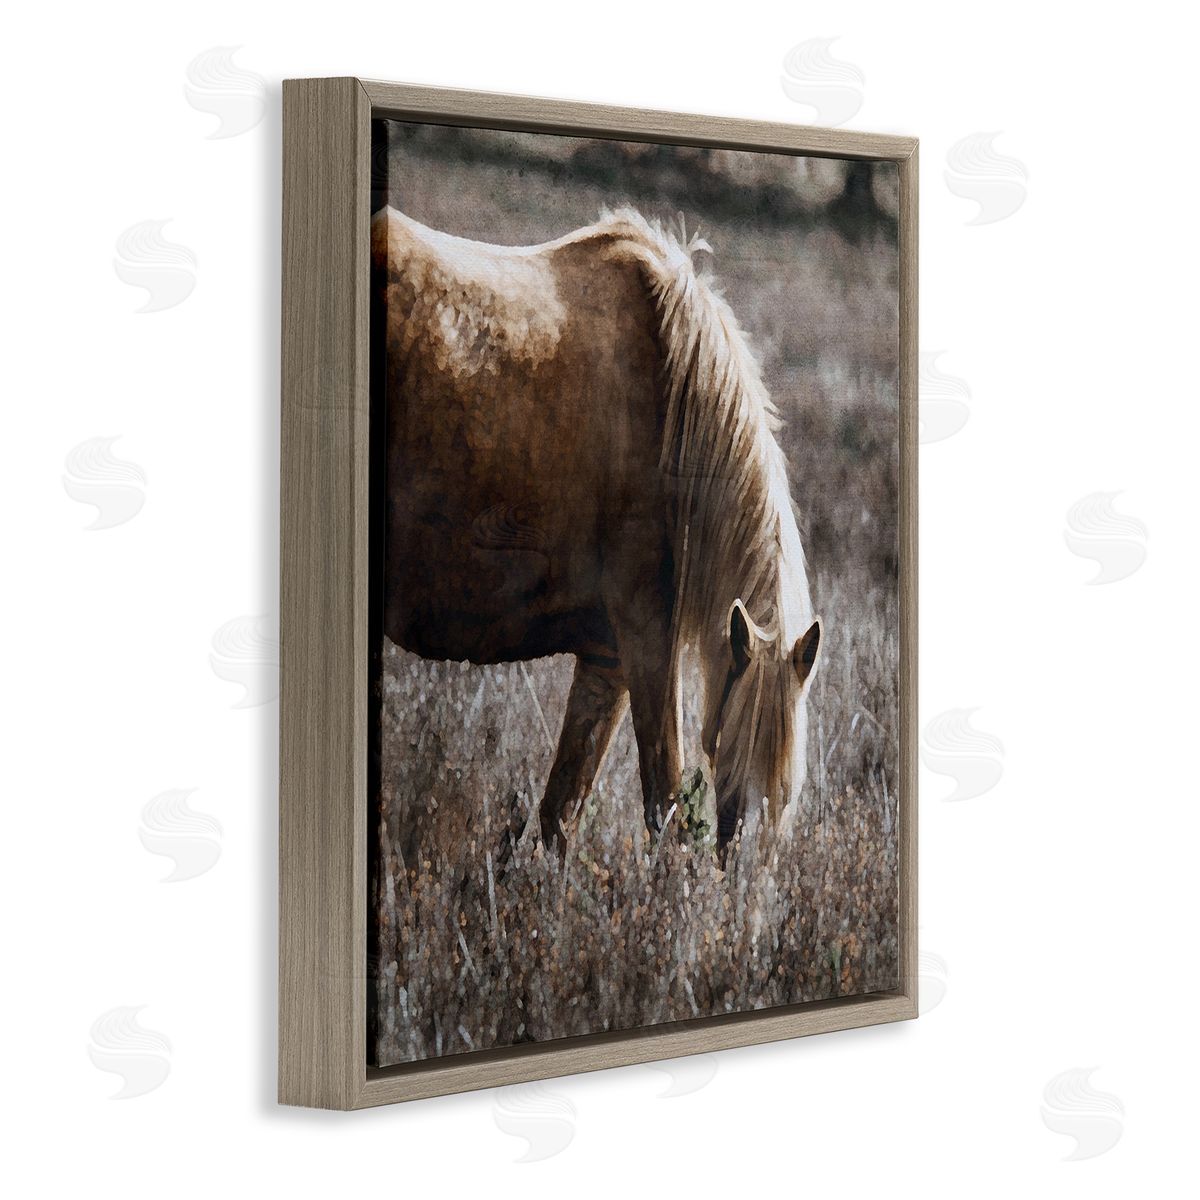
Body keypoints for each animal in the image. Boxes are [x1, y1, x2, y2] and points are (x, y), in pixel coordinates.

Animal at [372, 203, 821, 857]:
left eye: (787, 795)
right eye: (735, 760)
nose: (747, 880)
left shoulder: (606, 663)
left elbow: (562, 813)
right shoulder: (647, 643)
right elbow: (664, 804)